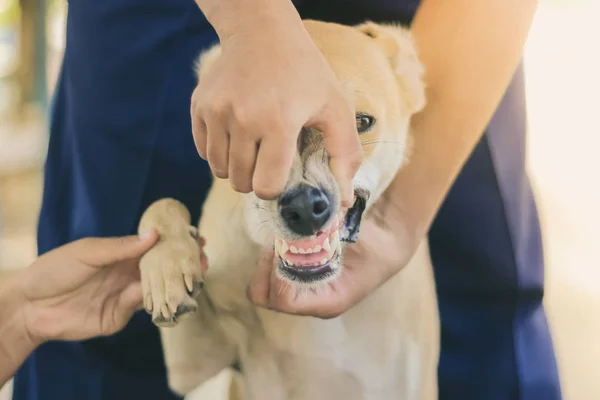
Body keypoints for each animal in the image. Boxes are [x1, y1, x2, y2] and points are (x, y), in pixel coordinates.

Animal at [137, 19, 440, 400]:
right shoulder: (193, 367)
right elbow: (163, 203)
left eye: (360, 122)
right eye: (250, 135)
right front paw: (166, 271)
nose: (305, 208)